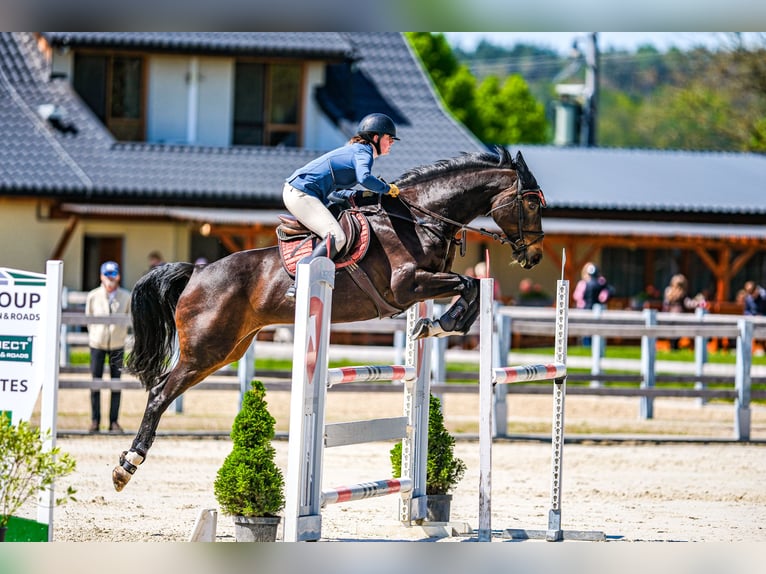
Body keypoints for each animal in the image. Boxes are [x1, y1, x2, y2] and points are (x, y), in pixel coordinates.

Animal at [112, 146, 547, 491]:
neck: (419, 220)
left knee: (167, 389)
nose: (535, 257)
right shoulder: (407, 286)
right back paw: (127, 466)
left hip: (227, 350)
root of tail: (197, 273)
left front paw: (435, 325)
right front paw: (442, 324)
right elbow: (468, 284)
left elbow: (469, 288)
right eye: (530, 204)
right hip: (204, 349)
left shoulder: (424, 285)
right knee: (159, 394)